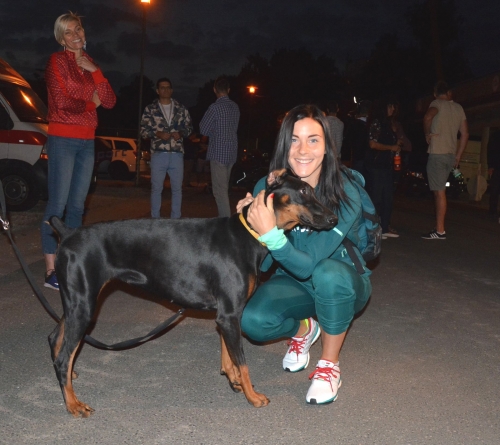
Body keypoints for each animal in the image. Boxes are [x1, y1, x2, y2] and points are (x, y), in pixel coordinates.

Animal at [48, 168, 338, 417]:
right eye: (304, 190)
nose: (334, 218)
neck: (249, 233)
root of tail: (68, 233)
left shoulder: (226, 314)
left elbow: (229, 354)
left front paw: (233, 380)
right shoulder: (230, 314)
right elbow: (242, 361)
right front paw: (252, 395)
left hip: (76, 301)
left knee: (56, 338)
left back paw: (69, 378)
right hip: (84, 304)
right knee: (63, 356)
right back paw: (73, 403)